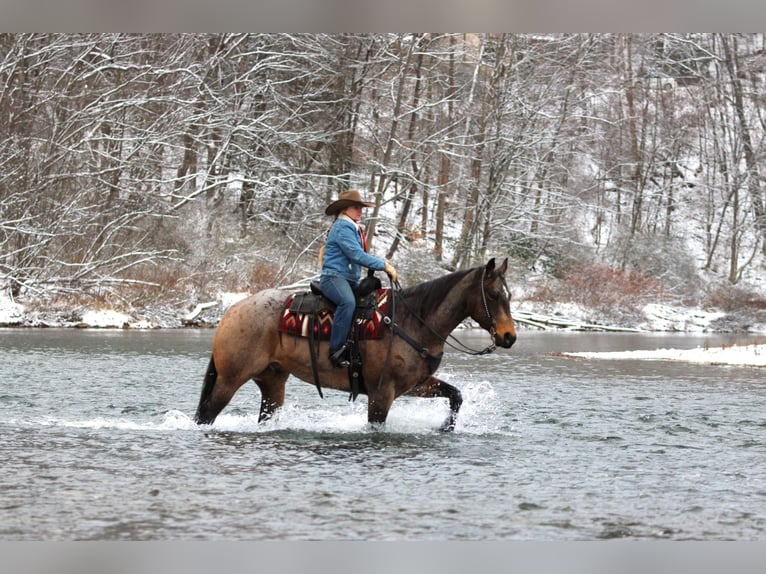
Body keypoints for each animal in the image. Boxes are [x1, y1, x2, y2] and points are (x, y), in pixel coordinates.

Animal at [194, 257, 516, 431]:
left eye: (509, 295)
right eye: (493, 294)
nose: (509, 336)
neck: (413, 321)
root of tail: (232, 310)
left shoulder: (414, 384)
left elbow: (456, 395)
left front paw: (445, 427)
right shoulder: (381, 392)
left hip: (272, 381)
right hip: (230, 379)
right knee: (206, 415)